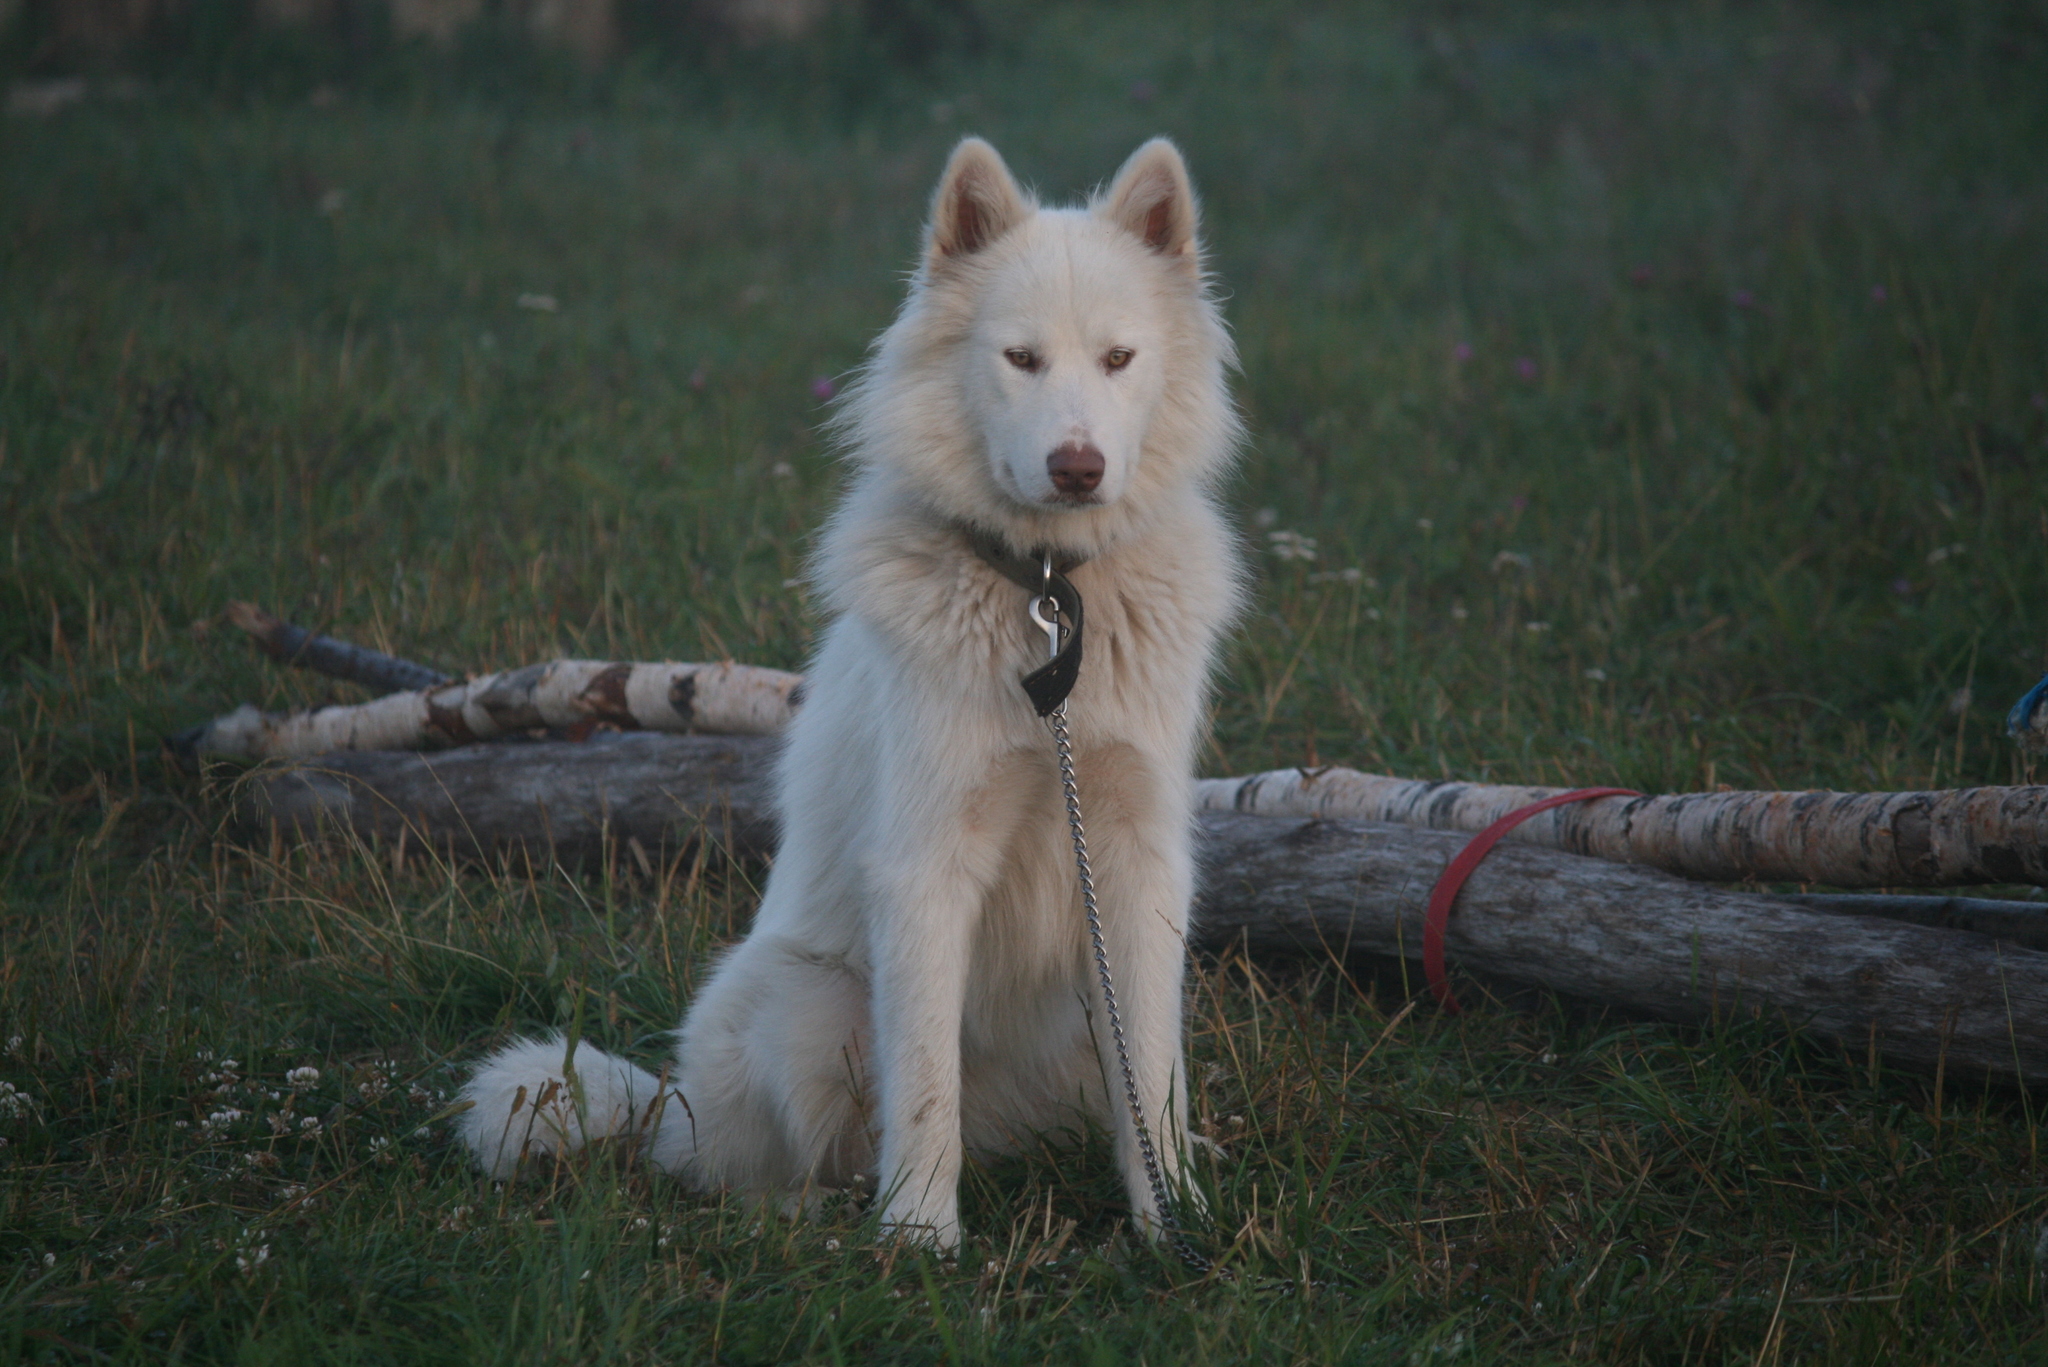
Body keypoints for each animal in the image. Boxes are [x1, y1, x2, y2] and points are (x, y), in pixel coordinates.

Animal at [454, 139, 1236, 1254]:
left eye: (1119, 359)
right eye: (1020, 359)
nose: (1077, 467)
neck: (1046, 601)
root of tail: (667, 1103)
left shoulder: (1136, 864)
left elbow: (1154, 1085)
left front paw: (1172, 1221)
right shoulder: (924, 867)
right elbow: (924, 1086)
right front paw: (920, 1239)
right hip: (811, 1004)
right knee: (738, 1171)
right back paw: (810, 1213)